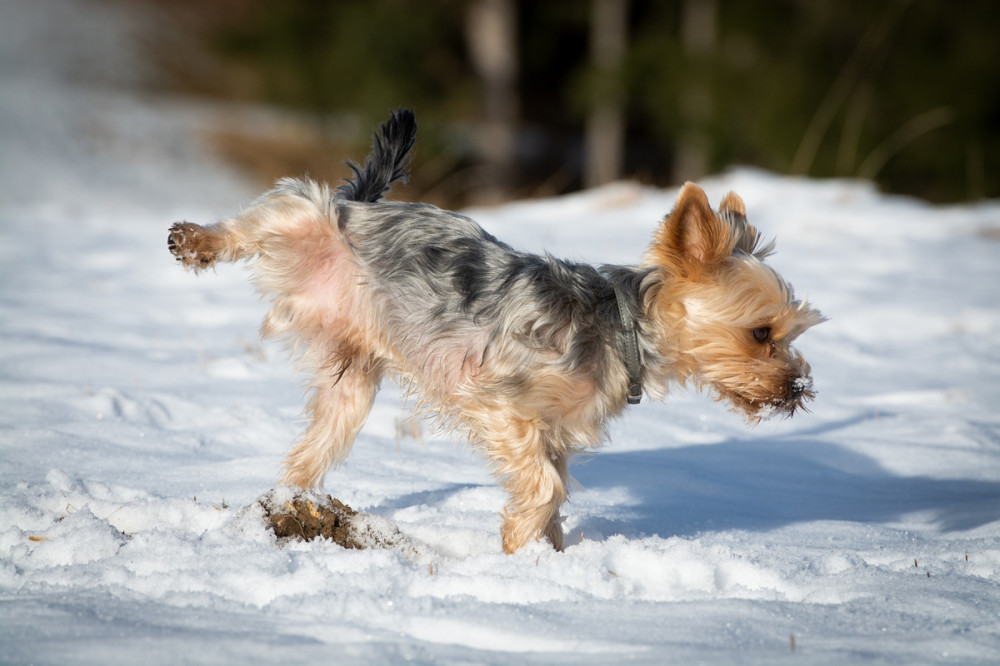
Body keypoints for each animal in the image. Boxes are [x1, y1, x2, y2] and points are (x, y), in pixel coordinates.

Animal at [168, 111, 824, 552]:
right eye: (762, 333)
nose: (798, 389)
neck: (623, 329)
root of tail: (365, 204)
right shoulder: (502, 405)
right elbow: (544, 488)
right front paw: (517, 546)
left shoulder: (554, 433)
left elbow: (553, 491)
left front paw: (546, 562)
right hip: (309, 217)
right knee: (271, 211)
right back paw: (195, 240)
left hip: (351, 382)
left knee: (313, 446)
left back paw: (289, 504)